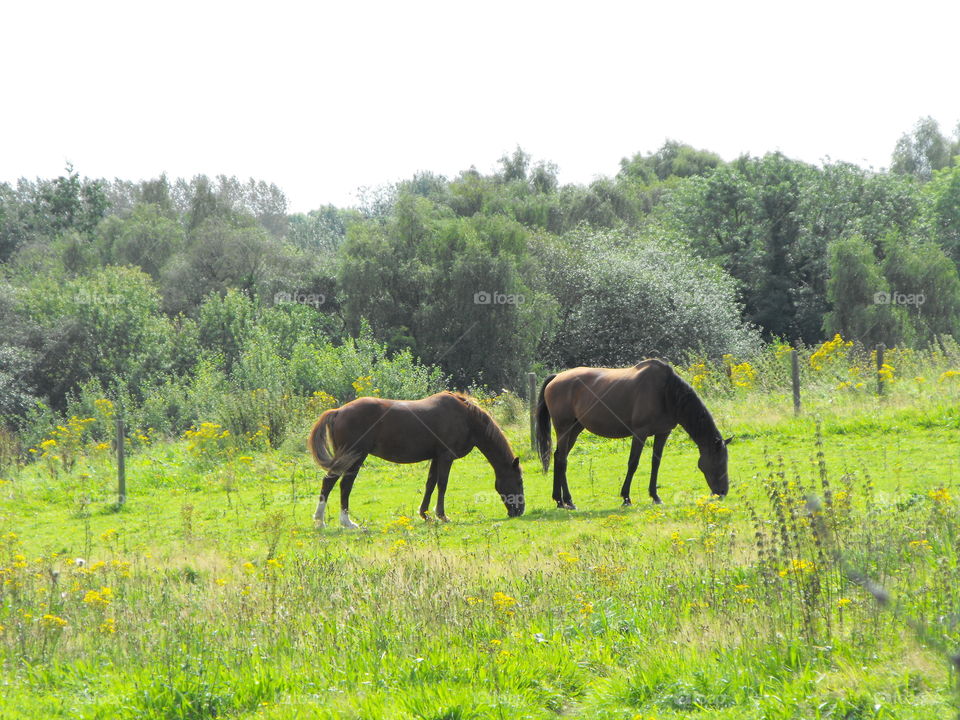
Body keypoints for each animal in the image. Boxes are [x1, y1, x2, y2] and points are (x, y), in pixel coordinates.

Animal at [307, 391, 525, 528]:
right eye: (519, 481)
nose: (519, 511)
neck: (466, 418)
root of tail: (338, 412)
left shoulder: (436, 457)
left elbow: (430, 484)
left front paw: (425, 514)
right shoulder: (446, 457)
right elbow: (442, 484)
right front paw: (442, 515)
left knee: (335, 483)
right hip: (355, 456)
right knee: (339, 484)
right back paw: (338, 521)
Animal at [535, 359, 730, 509]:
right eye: (718, 462)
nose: (722, 492)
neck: (665, 392)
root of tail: (556, 377)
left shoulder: (663, 433)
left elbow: (655, 463)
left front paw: (655, 496)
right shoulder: (639, 433)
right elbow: (633, 463)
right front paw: (626, 498)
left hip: (575, 429)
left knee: (558, 457)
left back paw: (560, 500)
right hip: (564, 428)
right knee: (562, 460)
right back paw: (567, 500)